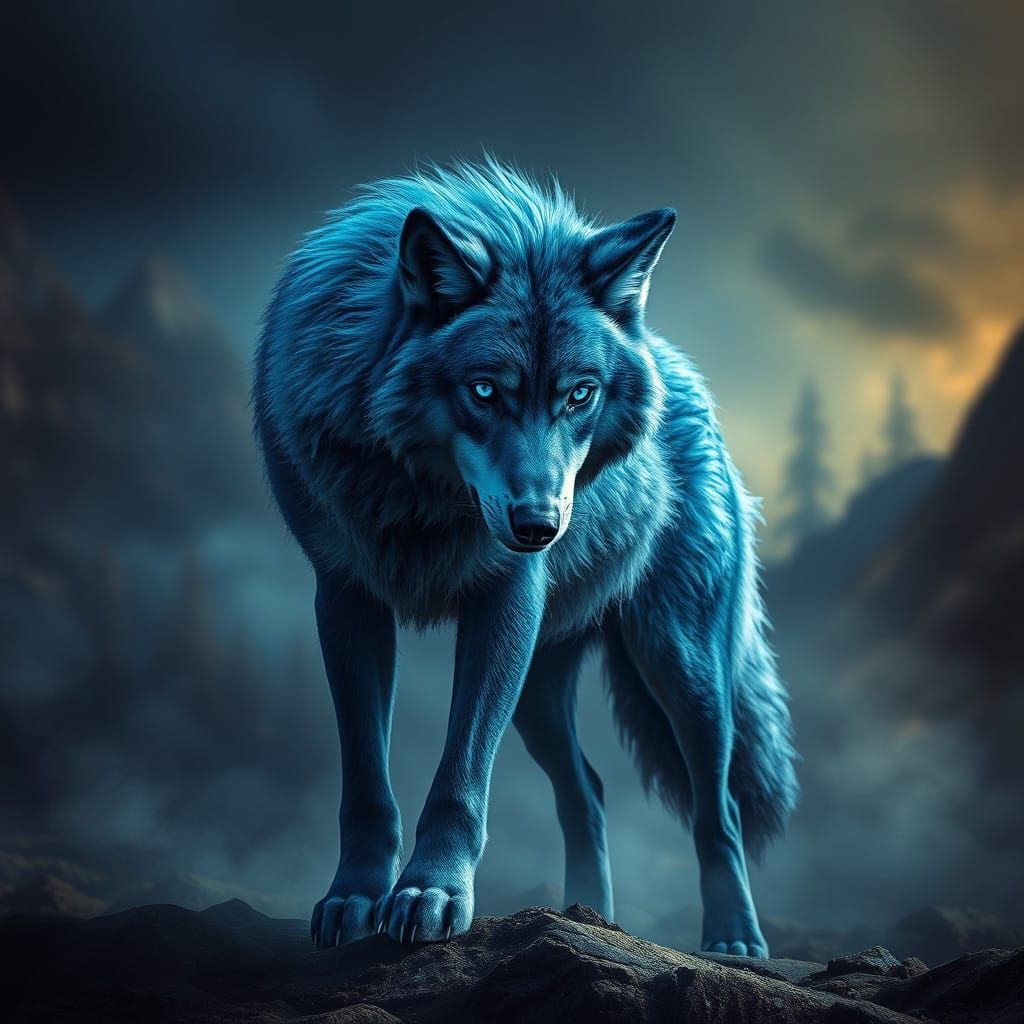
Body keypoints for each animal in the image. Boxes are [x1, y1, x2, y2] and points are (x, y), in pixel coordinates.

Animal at [252, 158, 797, 957]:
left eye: (579, 395)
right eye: (484, 391)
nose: (540, 527)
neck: (419, 497)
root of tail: (688, 379)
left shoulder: (504, 600)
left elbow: (459, 778)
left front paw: (431, 894)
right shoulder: (346, 597)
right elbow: (365, 782)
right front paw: (354, 897)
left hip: (677, 664)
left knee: (718, 809)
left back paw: (732, 939)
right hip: (539, 692)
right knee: (589, 795)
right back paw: (587, 918)